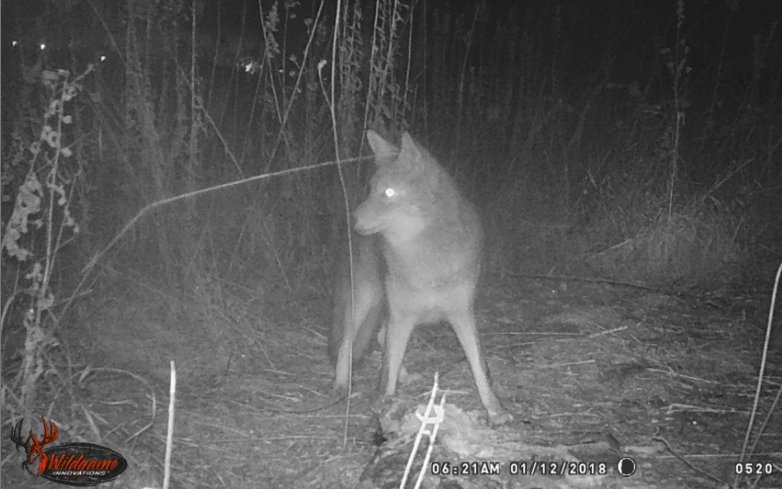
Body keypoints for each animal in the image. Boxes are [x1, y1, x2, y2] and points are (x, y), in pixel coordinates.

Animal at [328, 132, 512, 426]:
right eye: (371, 189)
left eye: (389, 192)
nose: (352, 218)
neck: (426, 260)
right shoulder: (401, 315)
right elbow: (386, 374)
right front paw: (383, 408)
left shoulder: (462, 313)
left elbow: (480, 367)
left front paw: (496, 410)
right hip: (363, 304)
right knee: (347, 343)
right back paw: (342, 385)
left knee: (380, 336)